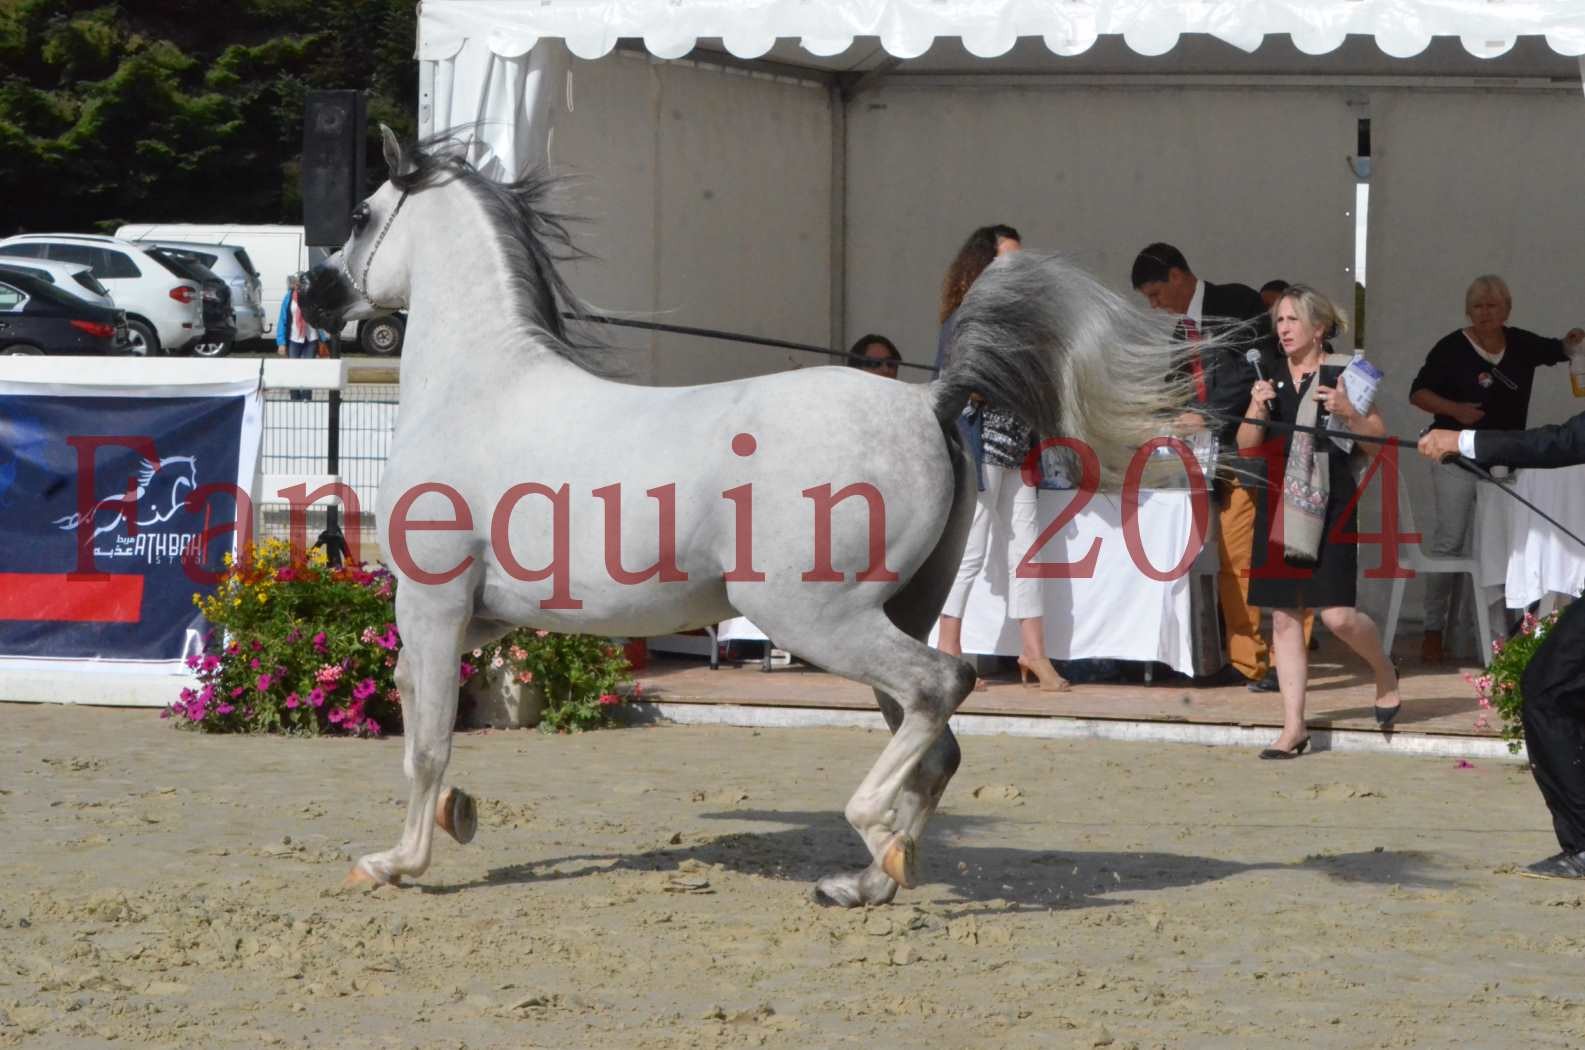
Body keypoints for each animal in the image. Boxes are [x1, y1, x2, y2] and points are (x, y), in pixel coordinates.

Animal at [302, 129, 1191, 907]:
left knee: (944, 685)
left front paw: (394, 863)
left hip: (809, 615)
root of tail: (926, 400)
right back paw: (865, 881)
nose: (311, 296)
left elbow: (426, 743)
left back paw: (873, 838)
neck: (477, 390)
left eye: (362, 215)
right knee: (935, 739)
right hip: (890, 614)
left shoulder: (432, 601)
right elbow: (418, 709)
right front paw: (455, 819)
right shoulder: (471, 616)